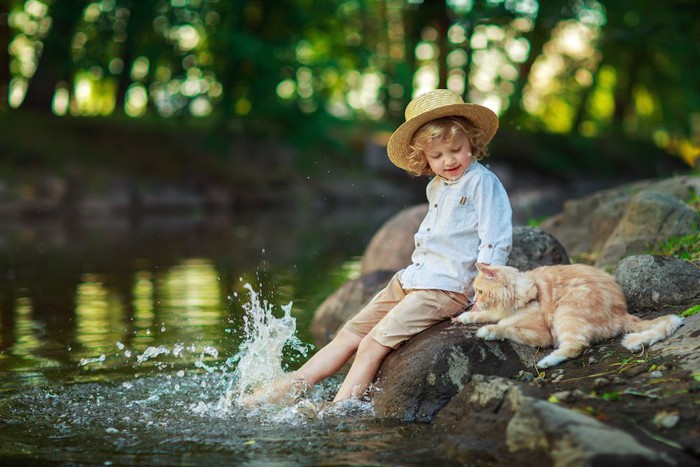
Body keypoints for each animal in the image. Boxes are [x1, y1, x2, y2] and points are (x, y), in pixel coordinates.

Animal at [454, 264, 684, 370]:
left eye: (480, 291)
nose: (474, 300)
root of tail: (623, 313)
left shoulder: (541, 335)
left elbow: (506, 327)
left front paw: (488, 330)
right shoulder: (497, 311)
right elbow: (487, 314)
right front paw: (465, 317)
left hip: (566, 311)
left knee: (575, 346)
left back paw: (546, 362)